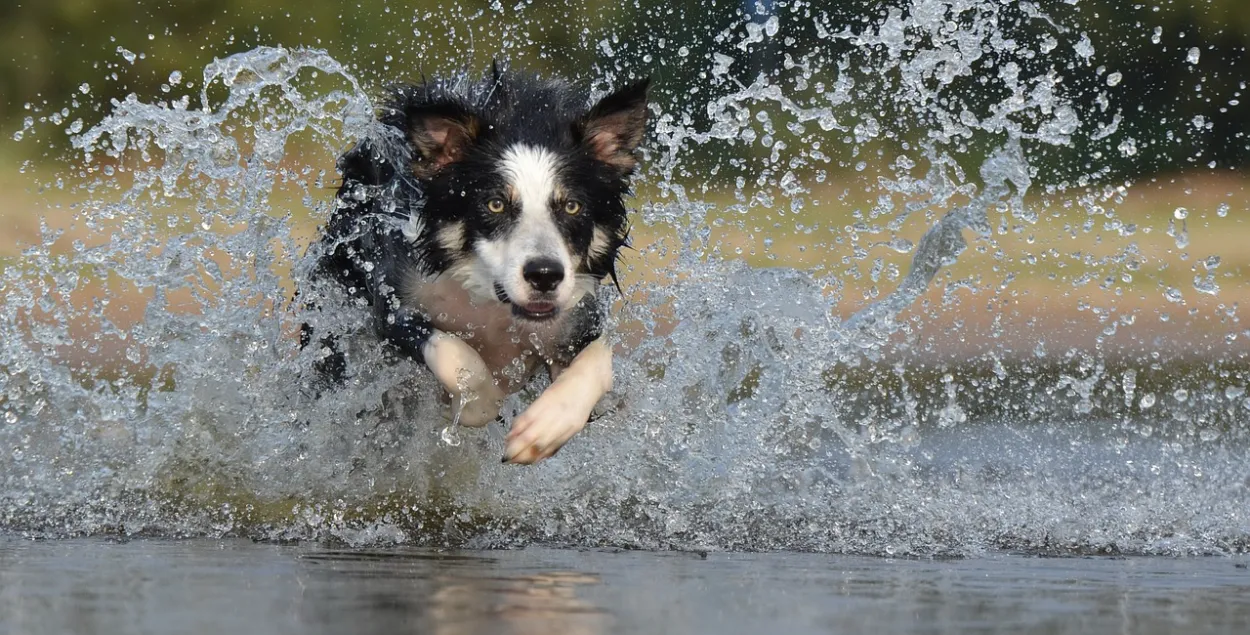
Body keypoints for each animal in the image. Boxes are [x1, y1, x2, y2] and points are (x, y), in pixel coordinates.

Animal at [301, 66, 650, 467]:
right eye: (495, 204)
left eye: (572, 206)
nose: (544, 275)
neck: (491, 304)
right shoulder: (394, 302)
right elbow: (456, 354)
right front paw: (475, 404)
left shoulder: (576, 317)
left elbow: (598, 361)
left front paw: (544, 428)